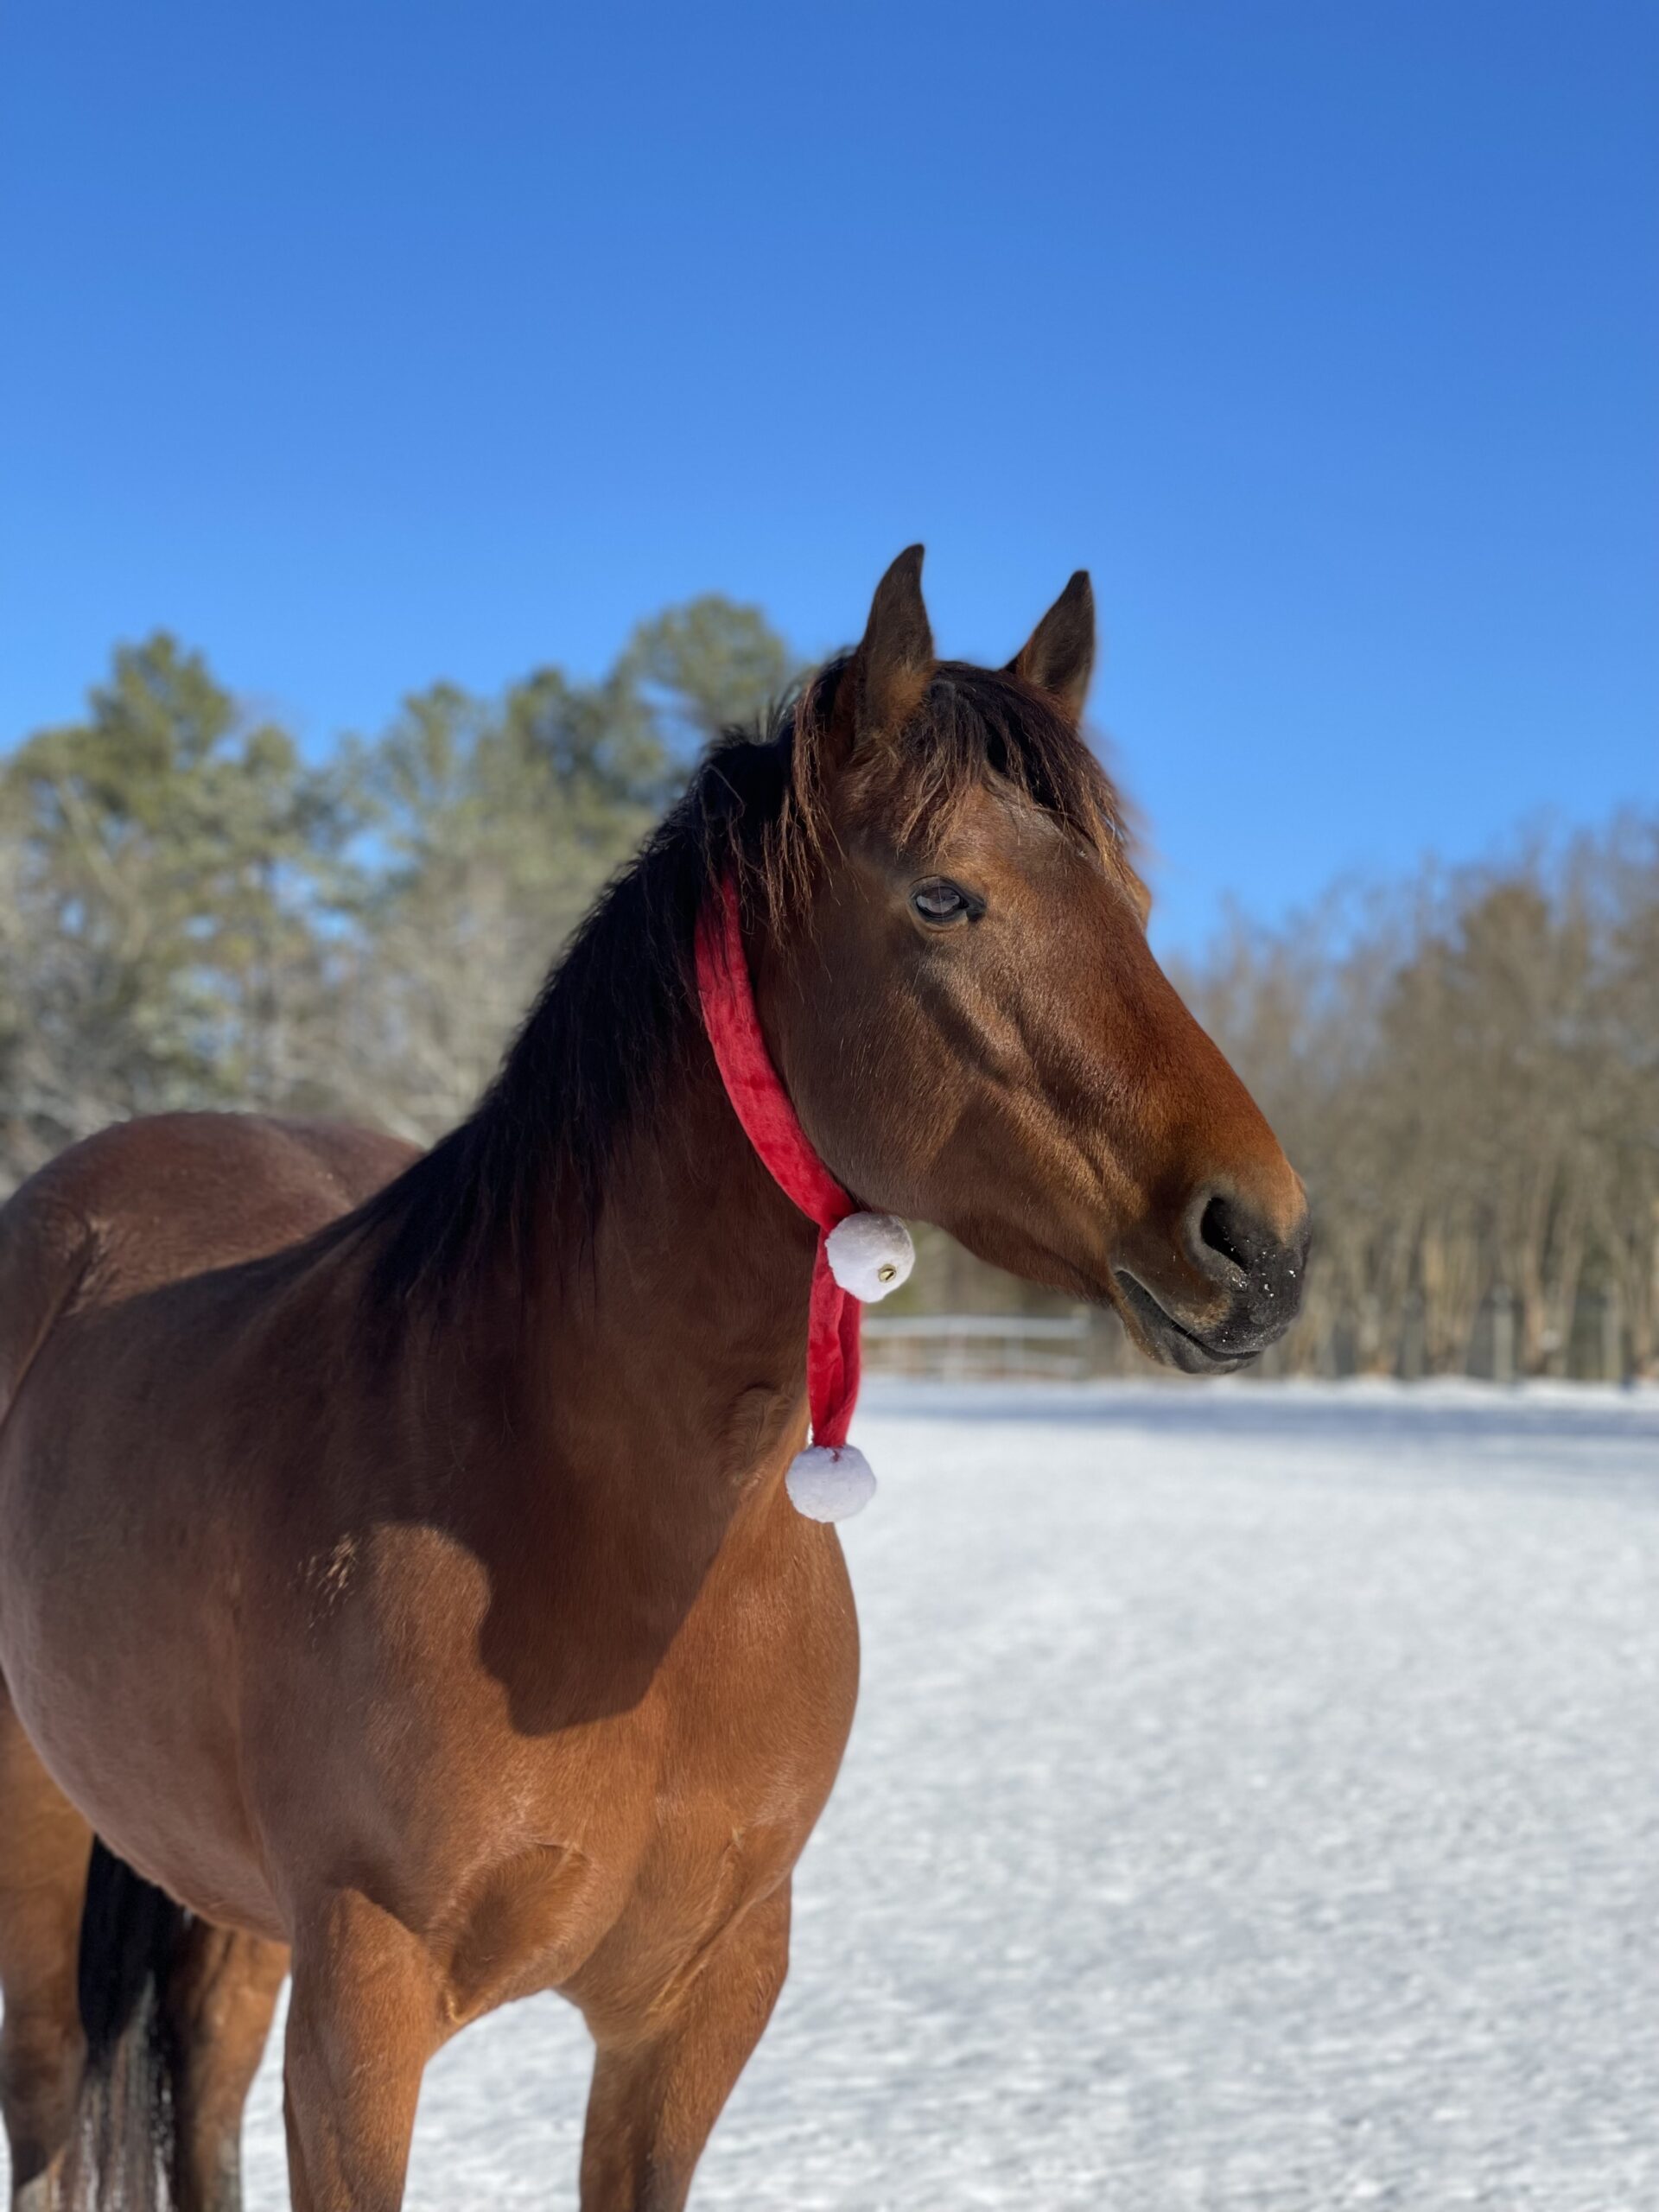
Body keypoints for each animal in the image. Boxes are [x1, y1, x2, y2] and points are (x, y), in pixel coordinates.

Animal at [0, 543, 1309, 2202]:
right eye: (945, 897)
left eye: (1132, 905)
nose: (1259, 1242)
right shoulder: (364, 2020)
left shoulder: (697, 2009)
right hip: (46, 1860)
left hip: (223, 1914)